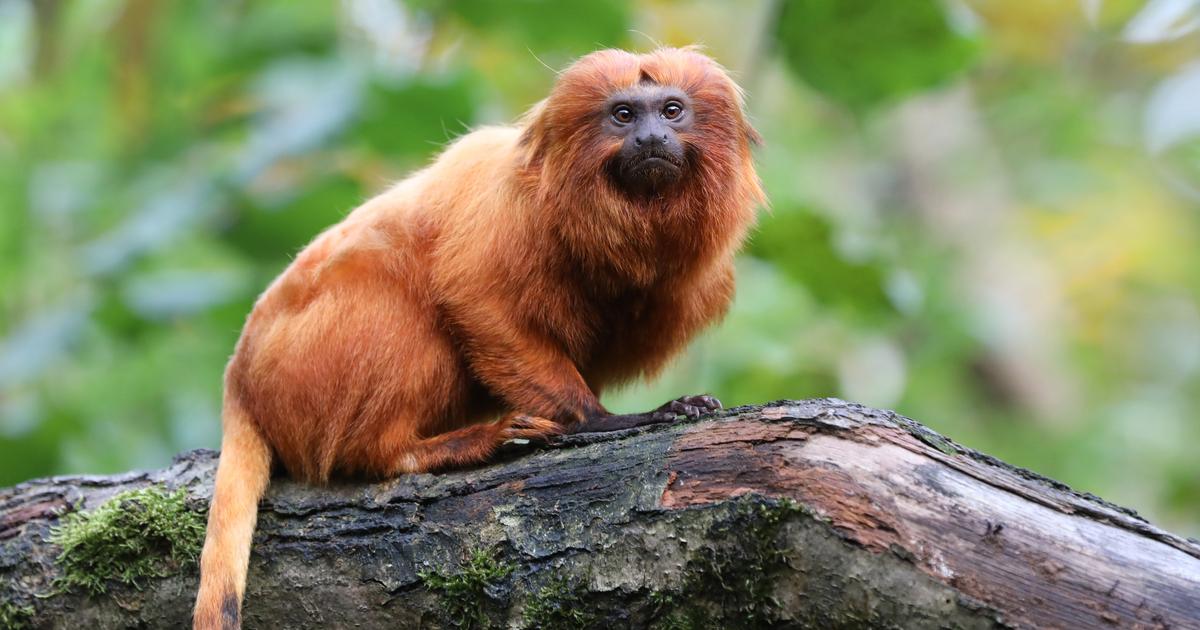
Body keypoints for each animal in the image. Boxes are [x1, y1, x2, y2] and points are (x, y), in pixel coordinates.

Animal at [192, 46, 763, 629]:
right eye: (623, 115)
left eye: (671, 110)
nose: (651, 138)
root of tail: (240, 375)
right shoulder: (504, 211)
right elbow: (476, 299)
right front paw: (606, 421)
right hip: (306, 360)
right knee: (398, 313)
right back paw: (432, 447)